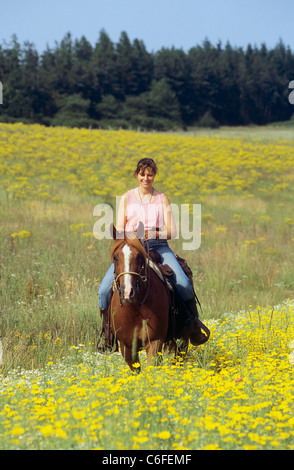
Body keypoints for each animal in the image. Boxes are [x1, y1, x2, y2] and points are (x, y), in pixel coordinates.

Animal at [108, 222, 188, 372]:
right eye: (115, 257)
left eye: (139, 256)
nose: (127, 293)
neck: (135, 308)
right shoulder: (126, 346)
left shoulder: (155, 341)